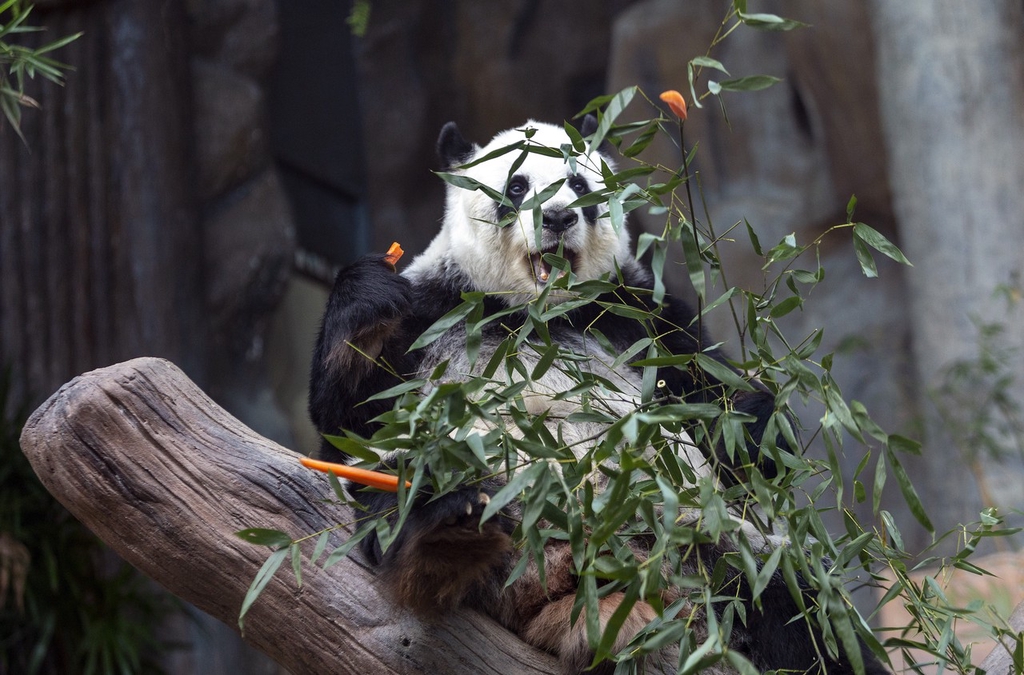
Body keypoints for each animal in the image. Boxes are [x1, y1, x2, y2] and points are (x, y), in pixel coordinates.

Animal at [305, 117, 888, 675]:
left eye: (580, 185)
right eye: (516, 185)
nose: (560, 217)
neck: (540, 314)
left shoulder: (642, 321)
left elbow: (726, 419)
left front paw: (749, 422)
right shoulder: (437, 313)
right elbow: (354, 422)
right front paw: (368, 296)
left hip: (717, 547)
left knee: (803, 615)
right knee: (403, 492)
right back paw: (448, 527)